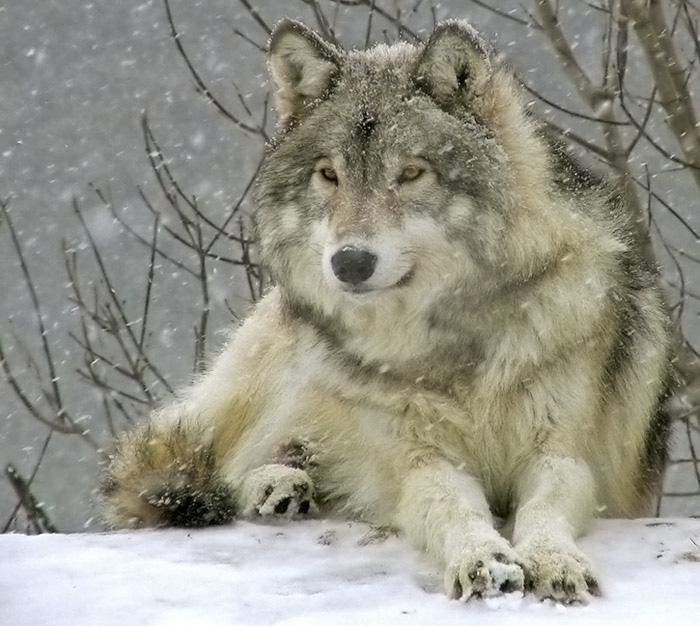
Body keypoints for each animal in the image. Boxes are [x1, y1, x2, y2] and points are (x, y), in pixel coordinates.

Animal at [100, 19, 672, 604]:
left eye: (412, 172)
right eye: (329, 175)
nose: (350, 261)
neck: (453, 340)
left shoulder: (561, 454)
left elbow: (545, 508)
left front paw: (554, 561)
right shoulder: (419, 458)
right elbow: (451, 505)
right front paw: (483, 559)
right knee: (214, 462)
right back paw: (276, 483)